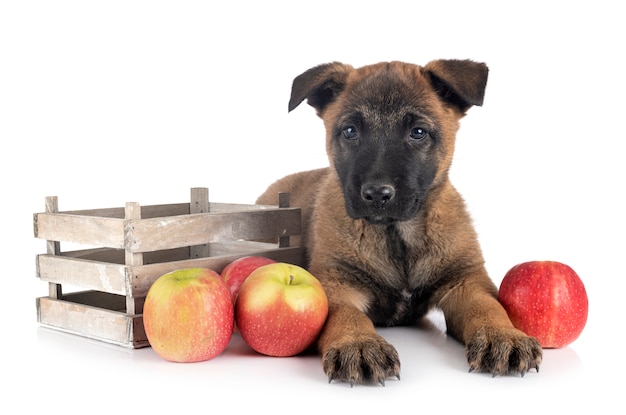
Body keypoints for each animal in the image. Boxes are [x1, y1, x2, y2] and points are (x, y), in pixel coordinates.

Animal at [256, 59, 540, 386]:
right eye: (350, 131)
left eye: (418, 132)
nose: (377, 194)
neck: (397, 236)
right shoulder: (336, 283)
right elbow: (345, 315)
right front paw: (358, 343)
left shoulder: (466, 281)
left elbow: (489, 307)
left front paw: (503, 335)